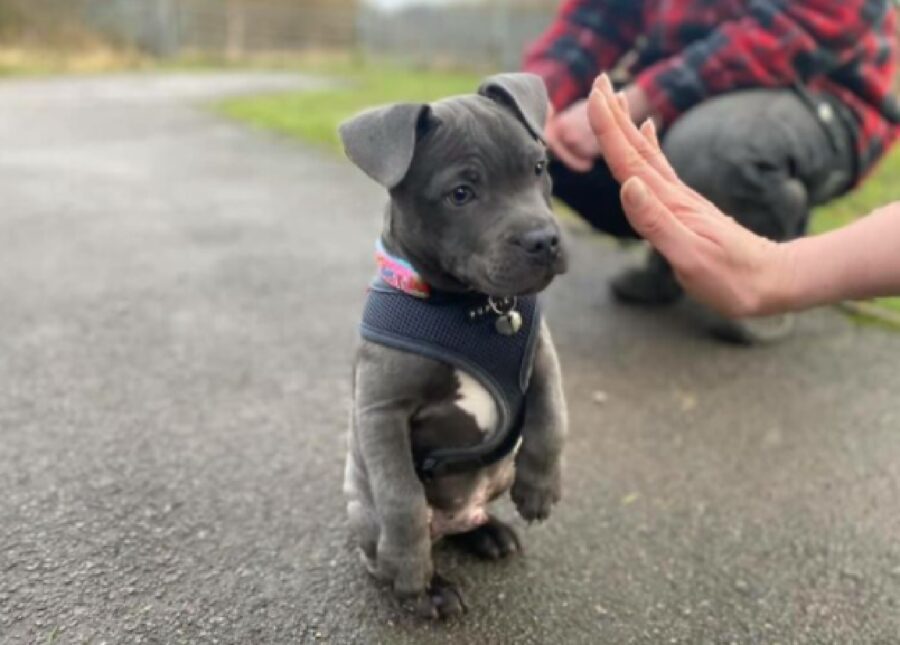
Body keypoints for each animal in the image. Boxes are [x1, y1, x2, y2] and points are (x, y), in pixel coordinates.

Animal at [342, 71, 568, 620]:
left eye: (539, 168)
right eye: (461, 194)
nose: (544, 240)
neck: (471, 309)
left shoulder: (543, 357)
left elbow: (552, 420)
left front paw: (540, 489)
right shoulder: (381, 411)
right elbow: (401, 494)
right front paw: (411, 571)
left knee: (472, 520)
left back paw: (490, 533)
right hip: (363, 509)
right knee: (386, 543)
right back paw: (427, 586)